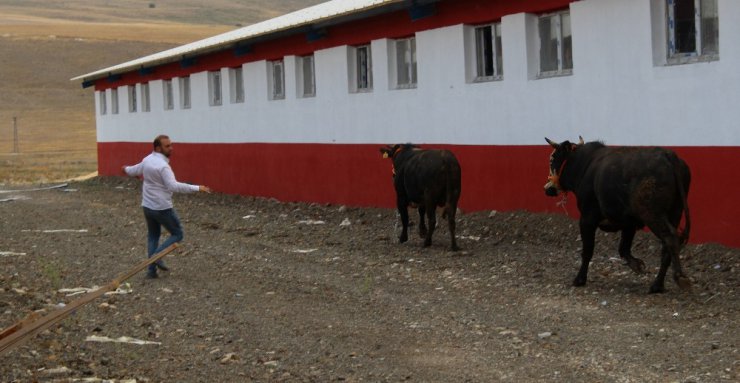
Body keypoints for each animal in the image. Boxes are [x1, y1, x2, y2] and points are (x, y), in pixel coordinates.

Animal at [544, 138, 692, 294]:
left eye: (553, 159)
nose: (547, 188)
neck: (584, 164)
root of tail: (668, 155)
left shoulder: (587, 219)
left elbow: (588, 250)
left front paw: (579, 279)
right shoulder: (629, 223)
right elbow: (623, 248)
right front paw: (637, 265)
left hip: (653, 215)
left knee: (670, 238)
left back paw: (679, 278)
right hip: (675, 213)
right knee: (666, 247)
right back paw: (657, 285)